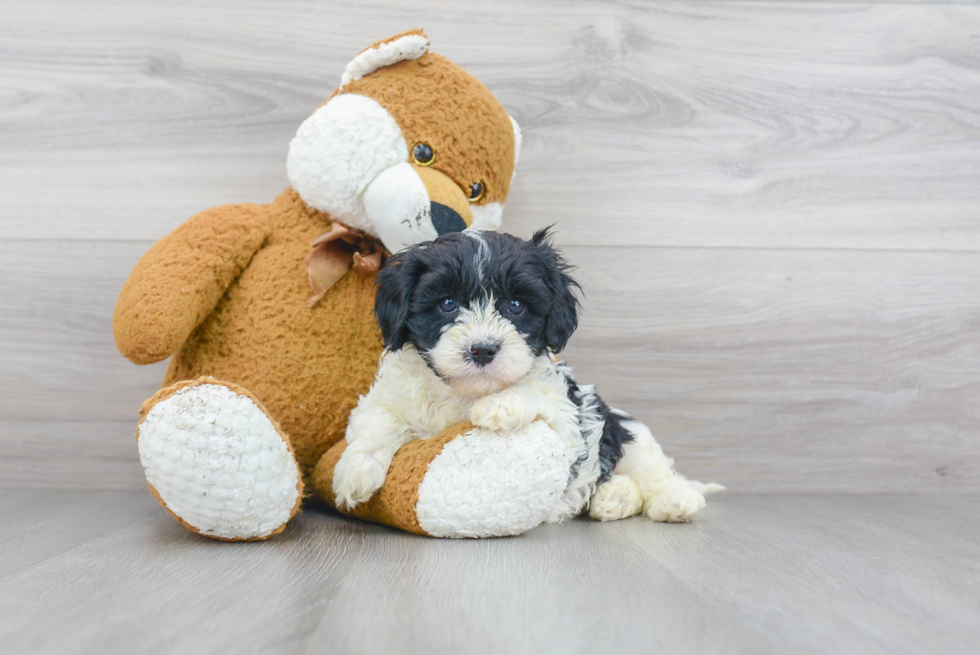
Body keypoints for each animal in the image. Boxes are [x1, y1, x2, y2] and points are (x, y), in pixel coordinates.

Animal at [334, 229, 724, 524]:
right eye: (447, 304)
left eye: (516, 306)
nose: (482, 350)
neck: (464, 392)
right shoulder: (385, 399)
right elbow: (379, 421)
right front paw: (355, 472)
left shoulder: (568, 419)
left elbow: (533, 393)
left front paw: (497, 406)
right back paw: (612, 499)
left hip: (630, 436)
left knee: (657, 473)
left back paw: (675, 501)